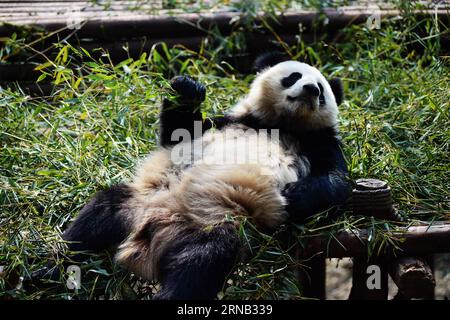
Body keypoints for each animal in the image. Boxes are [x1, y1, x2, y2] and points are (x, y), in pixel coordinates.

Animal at [58, 53, 350, 300]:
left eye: (321, 89)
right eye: (294, 76)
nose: (311, 90)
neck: (281, 124)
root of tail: (148, 239)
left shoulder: (319, 142)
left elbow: (336, 184)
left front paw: (296, 195)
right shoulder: (230, 121)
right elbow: (178, 136)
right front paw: (187, 89)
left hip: (214, 223)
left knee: (202, 263)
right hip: (140, 202)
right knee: (97, 218)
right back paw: (56, 268)